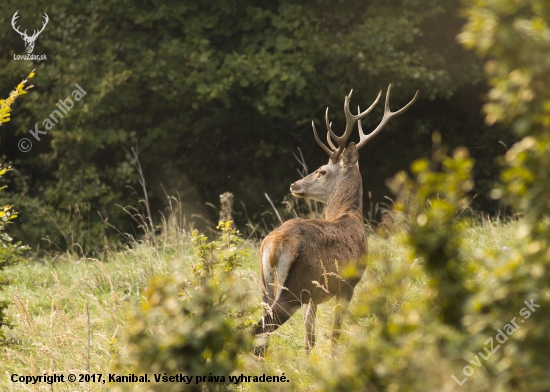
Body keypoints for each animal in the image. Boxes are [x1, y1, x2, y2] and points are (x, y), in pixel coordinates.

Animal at [253, 84, 418, 356]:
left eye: (321, 171)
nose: (294, 185)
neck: (348, 215)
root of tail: (274, 244)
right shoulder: (348, 284)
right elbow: (335, 335)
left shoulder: (313, 295)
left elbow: (310, 339)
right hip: (293, 289)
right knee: (258, 330)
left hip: (268, 285)